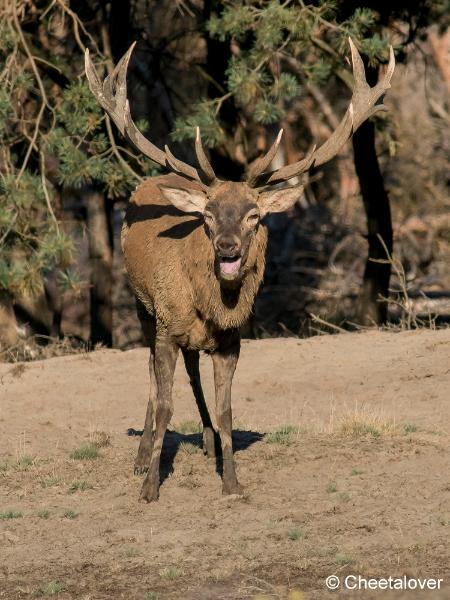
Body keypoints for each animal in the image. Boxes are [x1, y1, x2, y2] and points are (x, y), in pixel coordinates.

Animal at [85, 38, 394, 502]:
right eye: (208, 216)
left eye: (253, 215)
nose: (227, 247)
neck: (209, 304)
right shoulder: (166, 324)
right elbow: (165, 403)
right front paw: (150, 486)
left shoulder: (232, 339)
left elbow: (227, 408)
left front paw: (230, 480)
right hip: (143, 307)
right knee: (154, 374)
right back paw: (142, 457)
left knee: (192, 369)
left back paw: (208, 441)